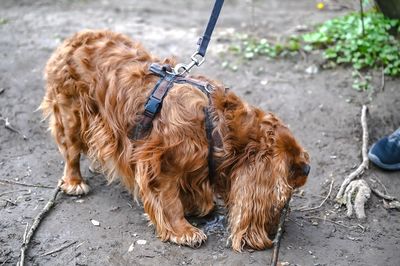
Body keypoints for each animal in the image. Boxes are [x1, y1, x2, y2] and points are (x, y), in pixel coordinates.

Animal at [40, 29, 310, 251]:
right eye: (290, 173)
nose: (308, 168)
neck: (218, 125)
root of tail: (74, 38)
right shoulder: (159, 163)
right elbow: (169, 201)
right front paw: (183, 230)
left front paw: (196, 205)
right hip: (71, 114)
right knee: (71, 153)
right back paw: (74, 182)